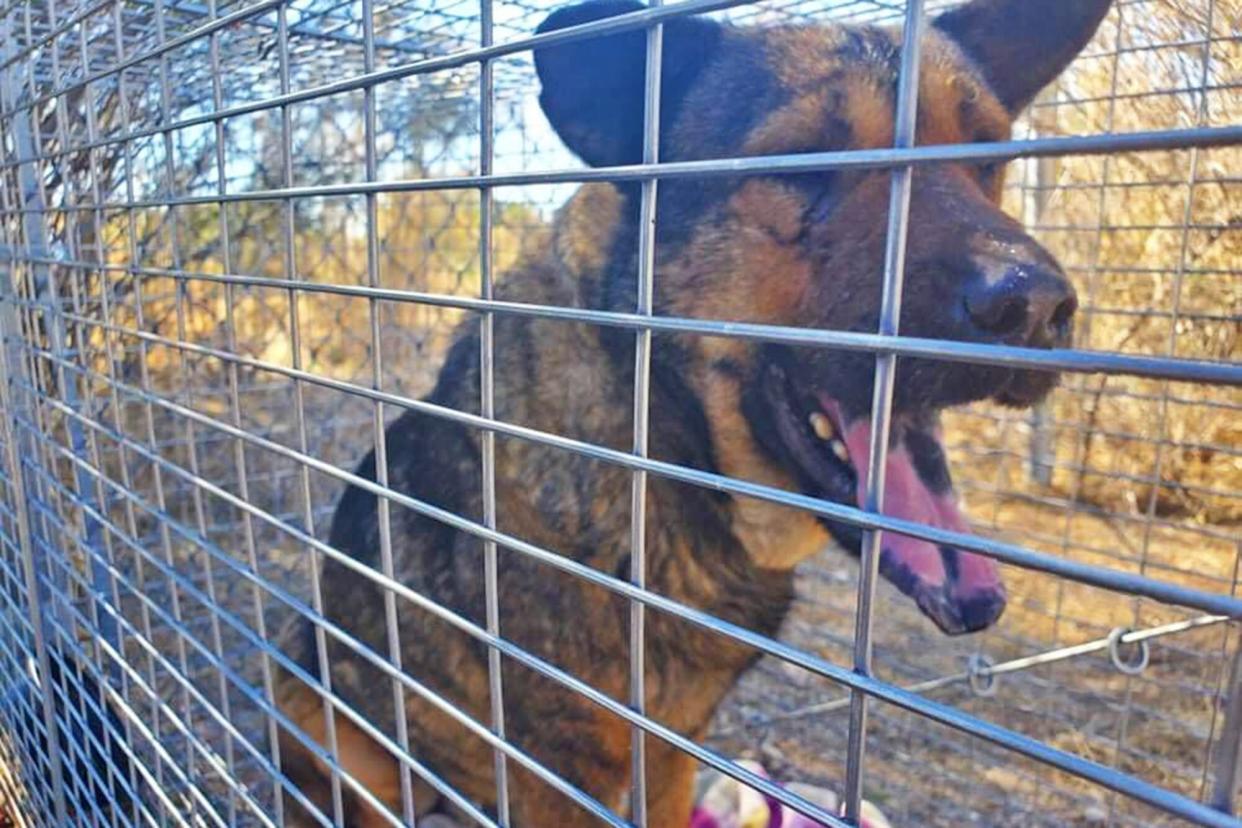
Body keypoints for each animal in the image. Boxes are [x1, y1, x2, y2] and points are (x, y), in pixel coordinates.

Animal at [276, 3, 1112, 824]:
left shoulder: (672, 744)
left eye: (987, 159)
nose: (1037, 307)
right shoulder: (558, 769)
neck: (663, 454)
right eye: (803, 161)